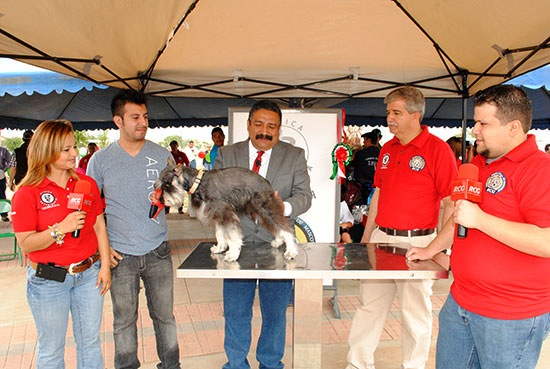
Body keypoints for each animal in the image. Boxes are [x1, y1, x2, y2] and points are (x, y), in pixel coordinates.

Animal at [156, 164, 298, 262]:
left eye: (167, 184)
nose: (162, 200)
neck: (198, 182)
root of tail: (267, 183)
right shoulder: (219, 217)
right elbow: (220, 234)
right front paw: (220, 248)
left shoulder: (227, 215)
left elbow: (233, 236)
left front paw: (233, 254)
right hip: (261, 212)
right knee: (276, 227)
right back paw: (278, 241)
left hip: (266, 209)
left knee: (284, 228)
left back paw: (291, 251)